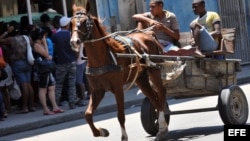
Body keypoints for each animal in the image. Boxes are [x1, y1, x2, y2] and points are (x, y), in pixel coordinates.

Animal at [69, 2, 169, 141]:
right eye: (71, 22)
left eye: (85, 22)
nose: (74, 42)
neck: (101, 59)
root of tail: (148, 34)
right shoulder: (97, 91)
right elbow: (87, 114)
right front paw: (101, 132)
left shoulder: (117, 89)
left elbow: (120, 115)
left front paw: (123, 136)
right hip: (141, 79)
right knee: (154, 98)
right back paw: (160, 126)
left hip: (154, 70)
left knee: (161, 93)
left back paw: (162, 126)